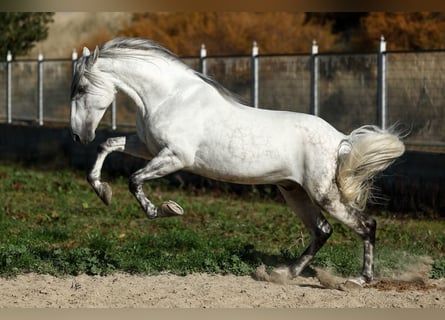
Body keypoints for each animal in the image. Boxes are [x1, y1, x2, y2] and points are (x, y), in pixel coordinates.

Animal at [70, 37, 406, 284]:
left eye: (83, 88)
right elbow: (107, 146)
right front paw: (103, 191)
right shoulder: (148, 147)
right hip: (293, 191)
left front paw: (165, 210)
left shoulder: (175, 157)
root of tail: (339, 140)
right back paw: (284, 274)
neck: (169, 97)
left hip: (325, 194)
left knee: (366, 225)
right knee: (322, 230)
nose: (78, 135)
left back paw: (360, 280)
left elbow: (134, 180)